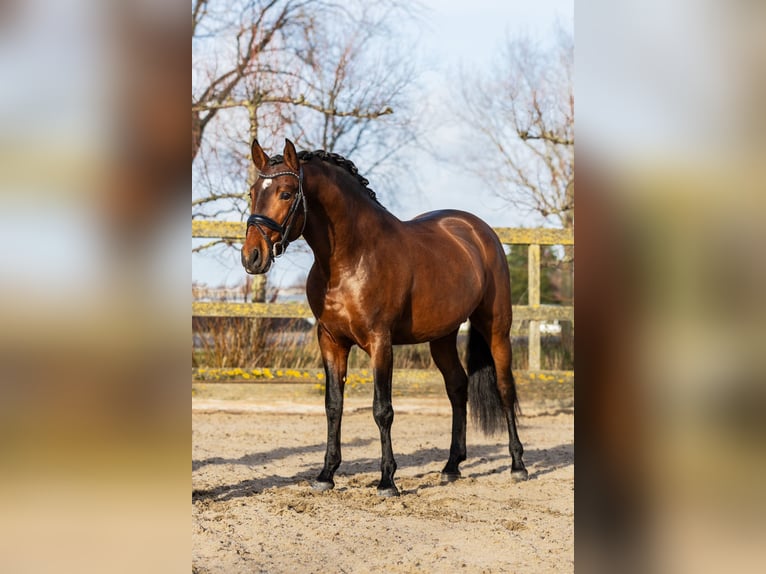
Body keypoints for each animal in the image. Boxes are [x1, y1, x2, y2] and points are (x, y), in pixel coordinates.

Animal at [240, 137, 528, 498]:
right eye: (252, 192)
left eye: (287, 193)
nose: (252, 256)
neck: (351, 259)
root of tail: (478, 230)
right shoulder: (331, 341)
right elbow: (333, 405)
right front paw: (326, 474)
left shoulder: (380, 341)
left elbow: (382, 409)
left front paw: (387, 480)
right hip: (442, 337)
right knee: (457, 387)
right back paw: (451, 466)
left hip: (497, 329)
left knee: (505, 388)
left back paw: (518, 465)